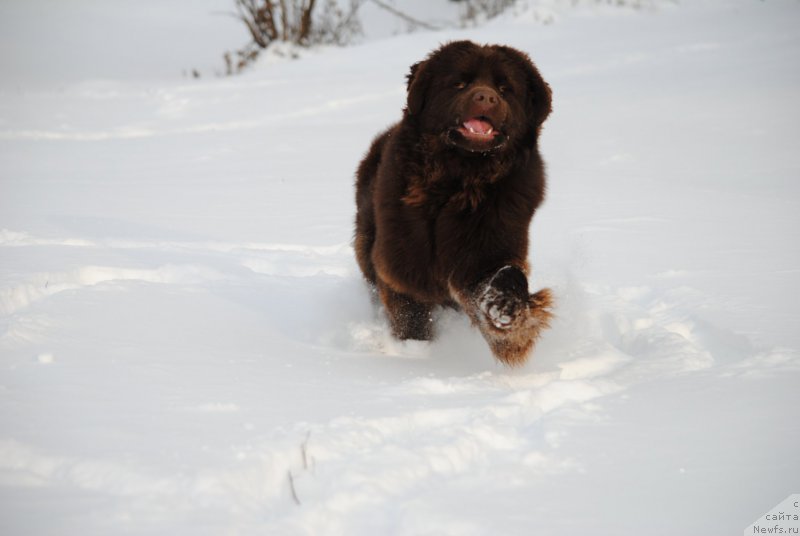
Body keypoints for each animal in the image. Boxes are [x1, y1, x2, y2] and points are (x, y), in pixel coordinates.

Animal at [354, 40, 552, 364]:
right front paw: (415, 353)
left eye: (504, 88)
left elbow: (505, 274)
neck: (460, 180)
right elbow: (410, 315)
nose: (486, 97)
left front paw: (508, 315)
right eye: (460, 83)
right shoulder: (400, 265)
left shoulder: (490, 243)